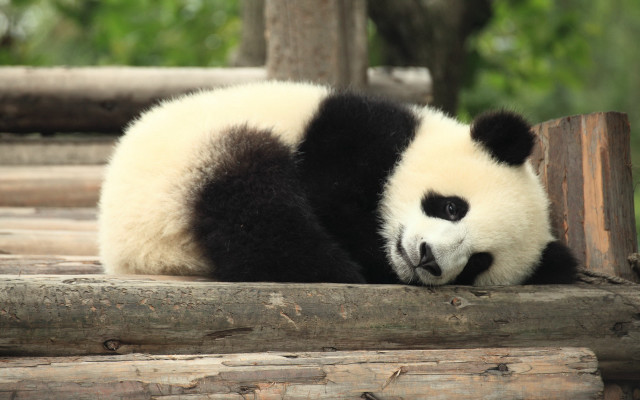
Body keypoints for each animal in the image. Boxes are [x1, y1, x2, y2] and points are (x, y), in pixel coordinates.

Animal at [98, 81, 577, 286]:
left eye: (479, 262)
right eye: (452, 206)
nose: (427, 260)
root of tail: (120, 251)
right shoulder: (353, 135)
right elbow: (329, 200)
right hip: (182, 171)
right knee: (255, 203)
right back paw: (335, 268)